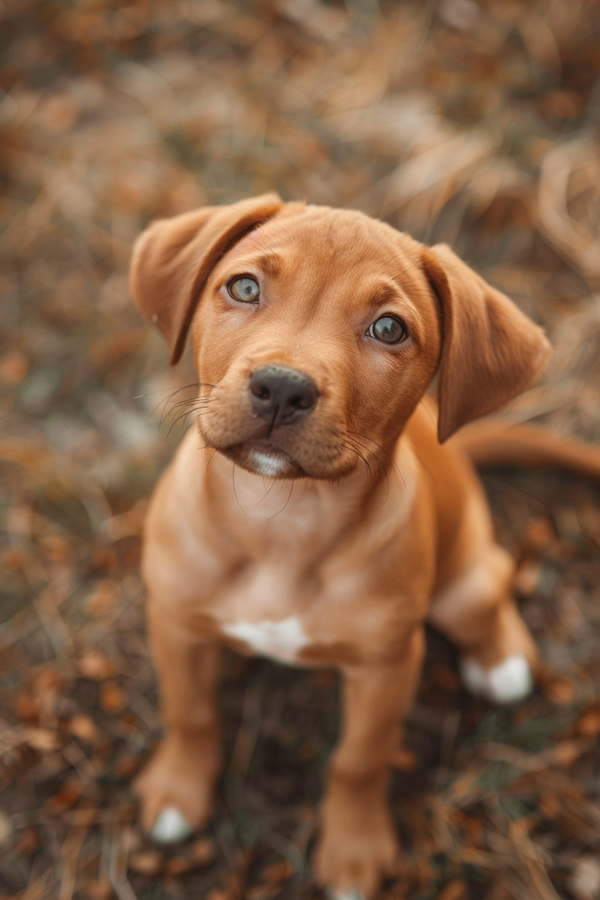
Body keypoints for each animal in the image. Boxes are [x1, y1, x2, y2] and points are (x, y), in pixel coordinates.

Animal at [131, 195, 552, 900]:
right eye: (244, 288)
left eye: (388, 329)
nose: (281, 386)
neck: (283, 525)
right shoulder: (176, 623)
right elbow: (191, 713)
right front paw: (176, 793)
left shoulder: (387, 666)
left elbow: (359, 760)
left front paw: (354, 850)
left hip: (462, 579)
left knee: (489, 588)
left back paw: (501, 659)